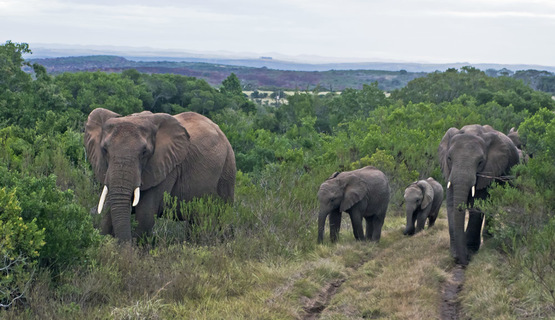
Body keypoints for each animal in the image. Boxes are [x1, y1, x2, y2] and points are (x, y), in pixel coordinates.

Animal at [84, 107, 237, 240]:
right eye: (104, 150)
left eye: (144, 152)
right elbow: (108, 213)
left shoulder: (168, 168)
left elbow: (145, 215)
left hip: (227, 170)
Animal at [438, 124, 520, 264]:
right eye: (449, 158)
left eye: (480, 162)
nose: (463, 261)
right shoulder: (449, 171)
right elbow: (451, 205)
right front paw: (455, 254)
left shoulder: (488, 170)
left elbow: (477, 206)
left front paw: (469, 252)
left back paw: (488, 238)